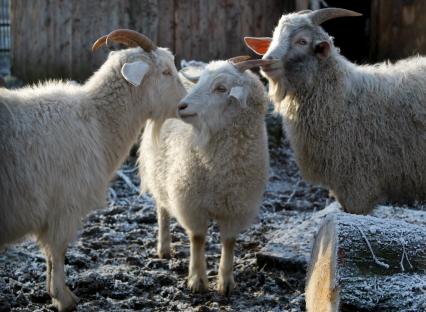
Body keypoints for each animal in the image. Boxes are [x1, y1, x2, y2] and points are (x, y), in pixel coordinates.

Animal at [0, 29, 186, 312]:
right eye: (165, 71)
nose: (186, 103)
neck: (97, 122)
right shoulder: (63, 206)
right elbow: (57, 251)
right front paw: (64, 298)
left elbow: (51, 256)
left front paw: (54, 293)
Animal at [140, 56, 272, 294]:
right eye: (201, 81)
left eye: (221, 88)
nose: (181, 106)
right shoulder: (191, 202)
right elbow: (198, 238)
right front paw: (197, 280)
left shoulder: (236, 207)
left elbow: (229, 242)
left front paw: (226, 283)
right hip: (158, 171)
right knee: (162, 209)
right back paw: (164, 247)